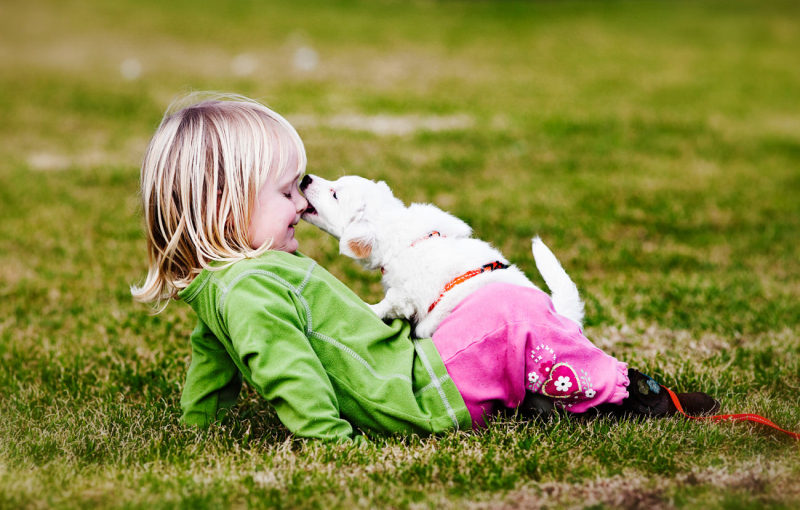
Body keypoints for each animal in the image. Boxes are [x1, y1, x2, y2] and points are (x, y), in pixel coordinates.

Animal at [300, 175, 588, 338]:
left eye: (335, 194)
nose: (305, 178)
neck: (401, 236)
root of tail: (565, 317)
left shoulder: (408, 292)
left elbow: (388, 302)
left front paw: (368, 308)